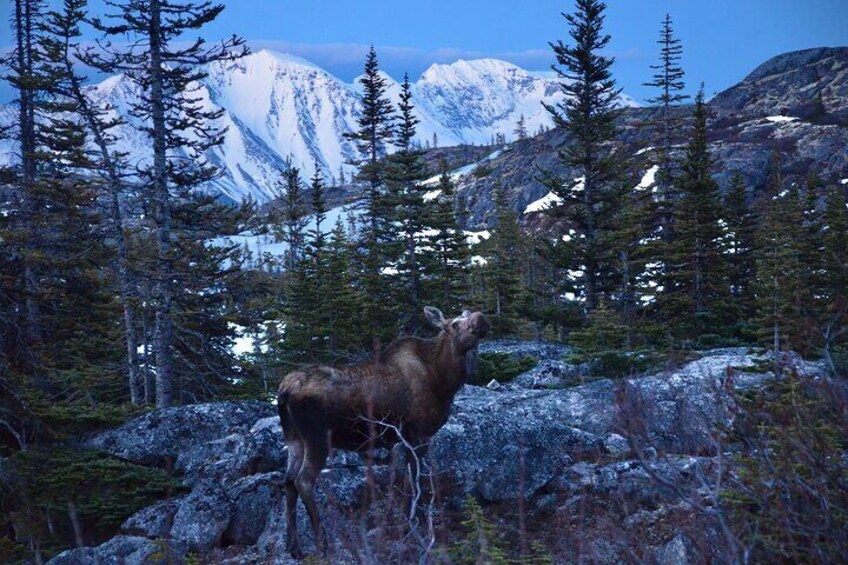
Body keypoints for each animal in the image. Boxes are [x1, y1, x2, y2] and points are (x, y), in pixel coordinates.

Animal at [276, 306, 490, 558]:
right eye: (455, 324)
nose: (480, 318)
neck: (444, 380)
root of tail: (284, 390)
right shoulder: (417, 435)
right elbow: (414, 483)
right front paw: (414, 524)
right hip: (317, 439)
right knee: (303, 480)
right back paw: (322, 543)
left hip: (294, 438)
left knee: (288, 481)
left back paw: (294, 547)